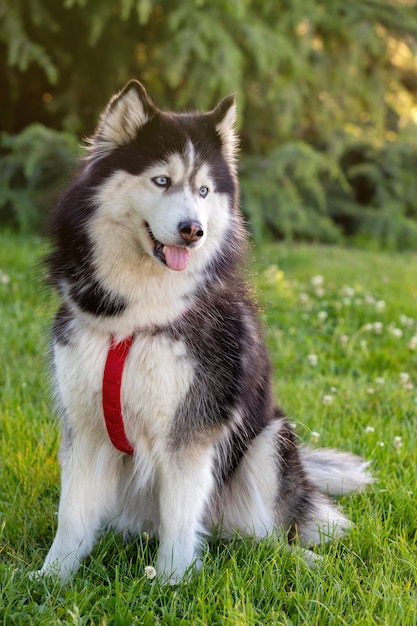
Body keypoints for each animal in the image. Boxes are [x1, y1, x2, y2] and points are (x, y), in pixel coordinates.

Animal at [38, 80, 370, 584]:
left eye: (203, 189)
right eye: (161, 181)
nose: (192, 230)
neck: (135, 319)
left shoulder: (191, 430)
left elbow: (180, 516)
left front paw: (172, 582)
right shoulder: (86, 424)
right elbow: (72, 515)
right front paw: (50, 578)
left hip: (268, 441)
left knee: (264, 534)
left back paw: (297, 560)